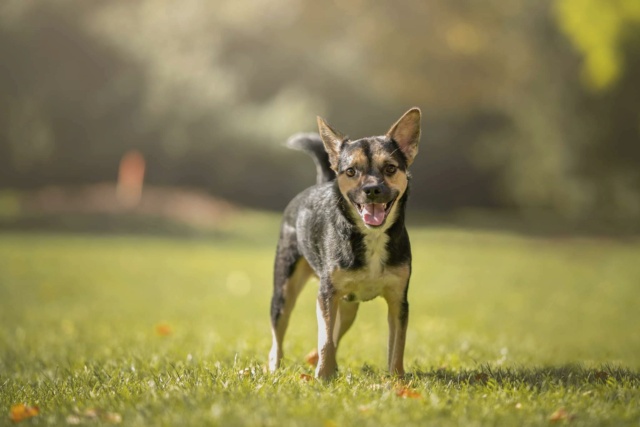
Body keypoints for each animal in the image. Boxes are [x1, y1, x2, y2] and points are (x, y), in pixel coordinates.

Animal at [268, 107, 422, 378]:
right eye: (351, 171)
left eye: (390, 168)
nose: (372, 190)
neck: (371, 236)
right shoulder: (327, 295)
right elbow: (325, 340)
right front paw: (322, 378)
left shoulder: (398, 301)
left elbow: (397, 345)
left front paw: (397, 380)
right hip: (284, 291)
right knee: (279, 334)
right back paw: (276, 367)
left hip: (349, 306)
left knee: (338, 332)